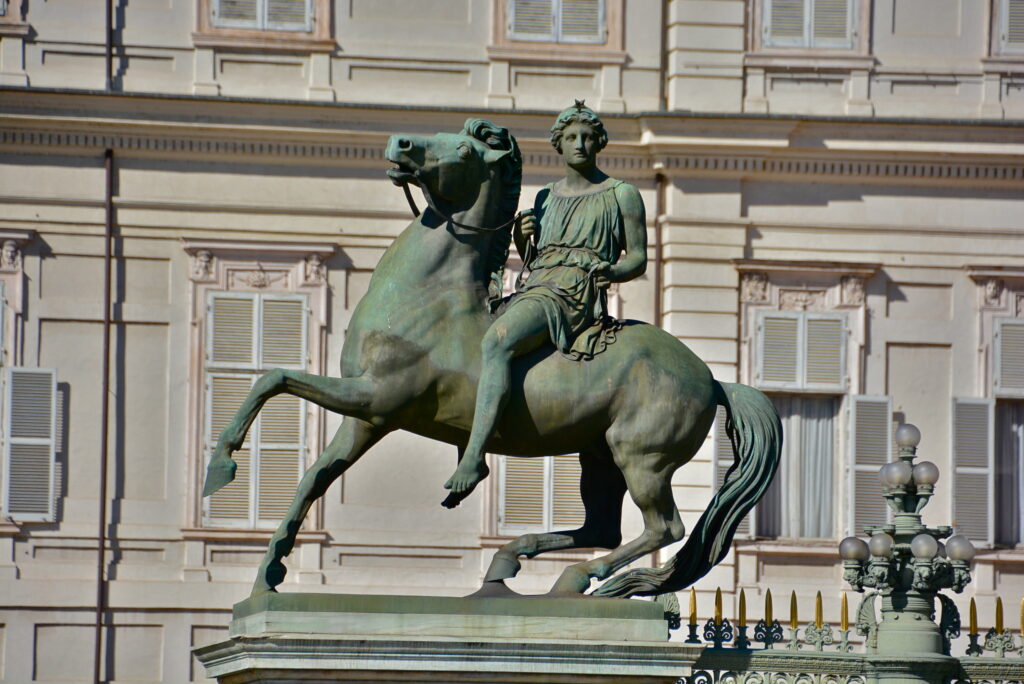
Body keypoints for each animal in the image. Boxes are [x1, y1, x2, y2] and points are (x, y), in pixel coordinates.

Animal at [201, 118, 782, 597]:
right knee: (603, 526)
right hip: (597, 454)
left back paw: (572, 576)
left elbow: (273, 377)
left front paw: (222, 465)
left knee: (664, 527)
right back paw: (513, 562)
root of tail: (713, 380)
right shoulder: (368, 417)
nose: (400, 144)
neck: (427, 297)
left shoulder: (379, 398)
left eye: (463, 149)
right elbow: (313, 472)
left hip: (640, 456)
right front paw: (269, 566)